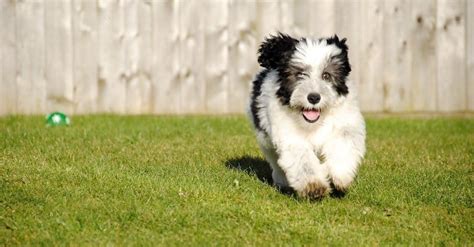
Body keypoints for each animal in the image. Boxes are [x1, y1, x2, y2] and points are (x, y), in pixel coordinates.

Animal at [248, 32, 366, 200]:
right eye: (299, 74)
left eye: (326, 75)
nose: (314, 97)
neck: (314, 123)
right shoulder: (289, 135)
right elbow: (302, 158)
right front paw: (314, 186)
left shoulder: (346, 122)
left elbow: (343, 142)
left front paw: (340, 174)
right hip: (265, 140)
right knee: (275, 161)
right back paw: (282, 180)